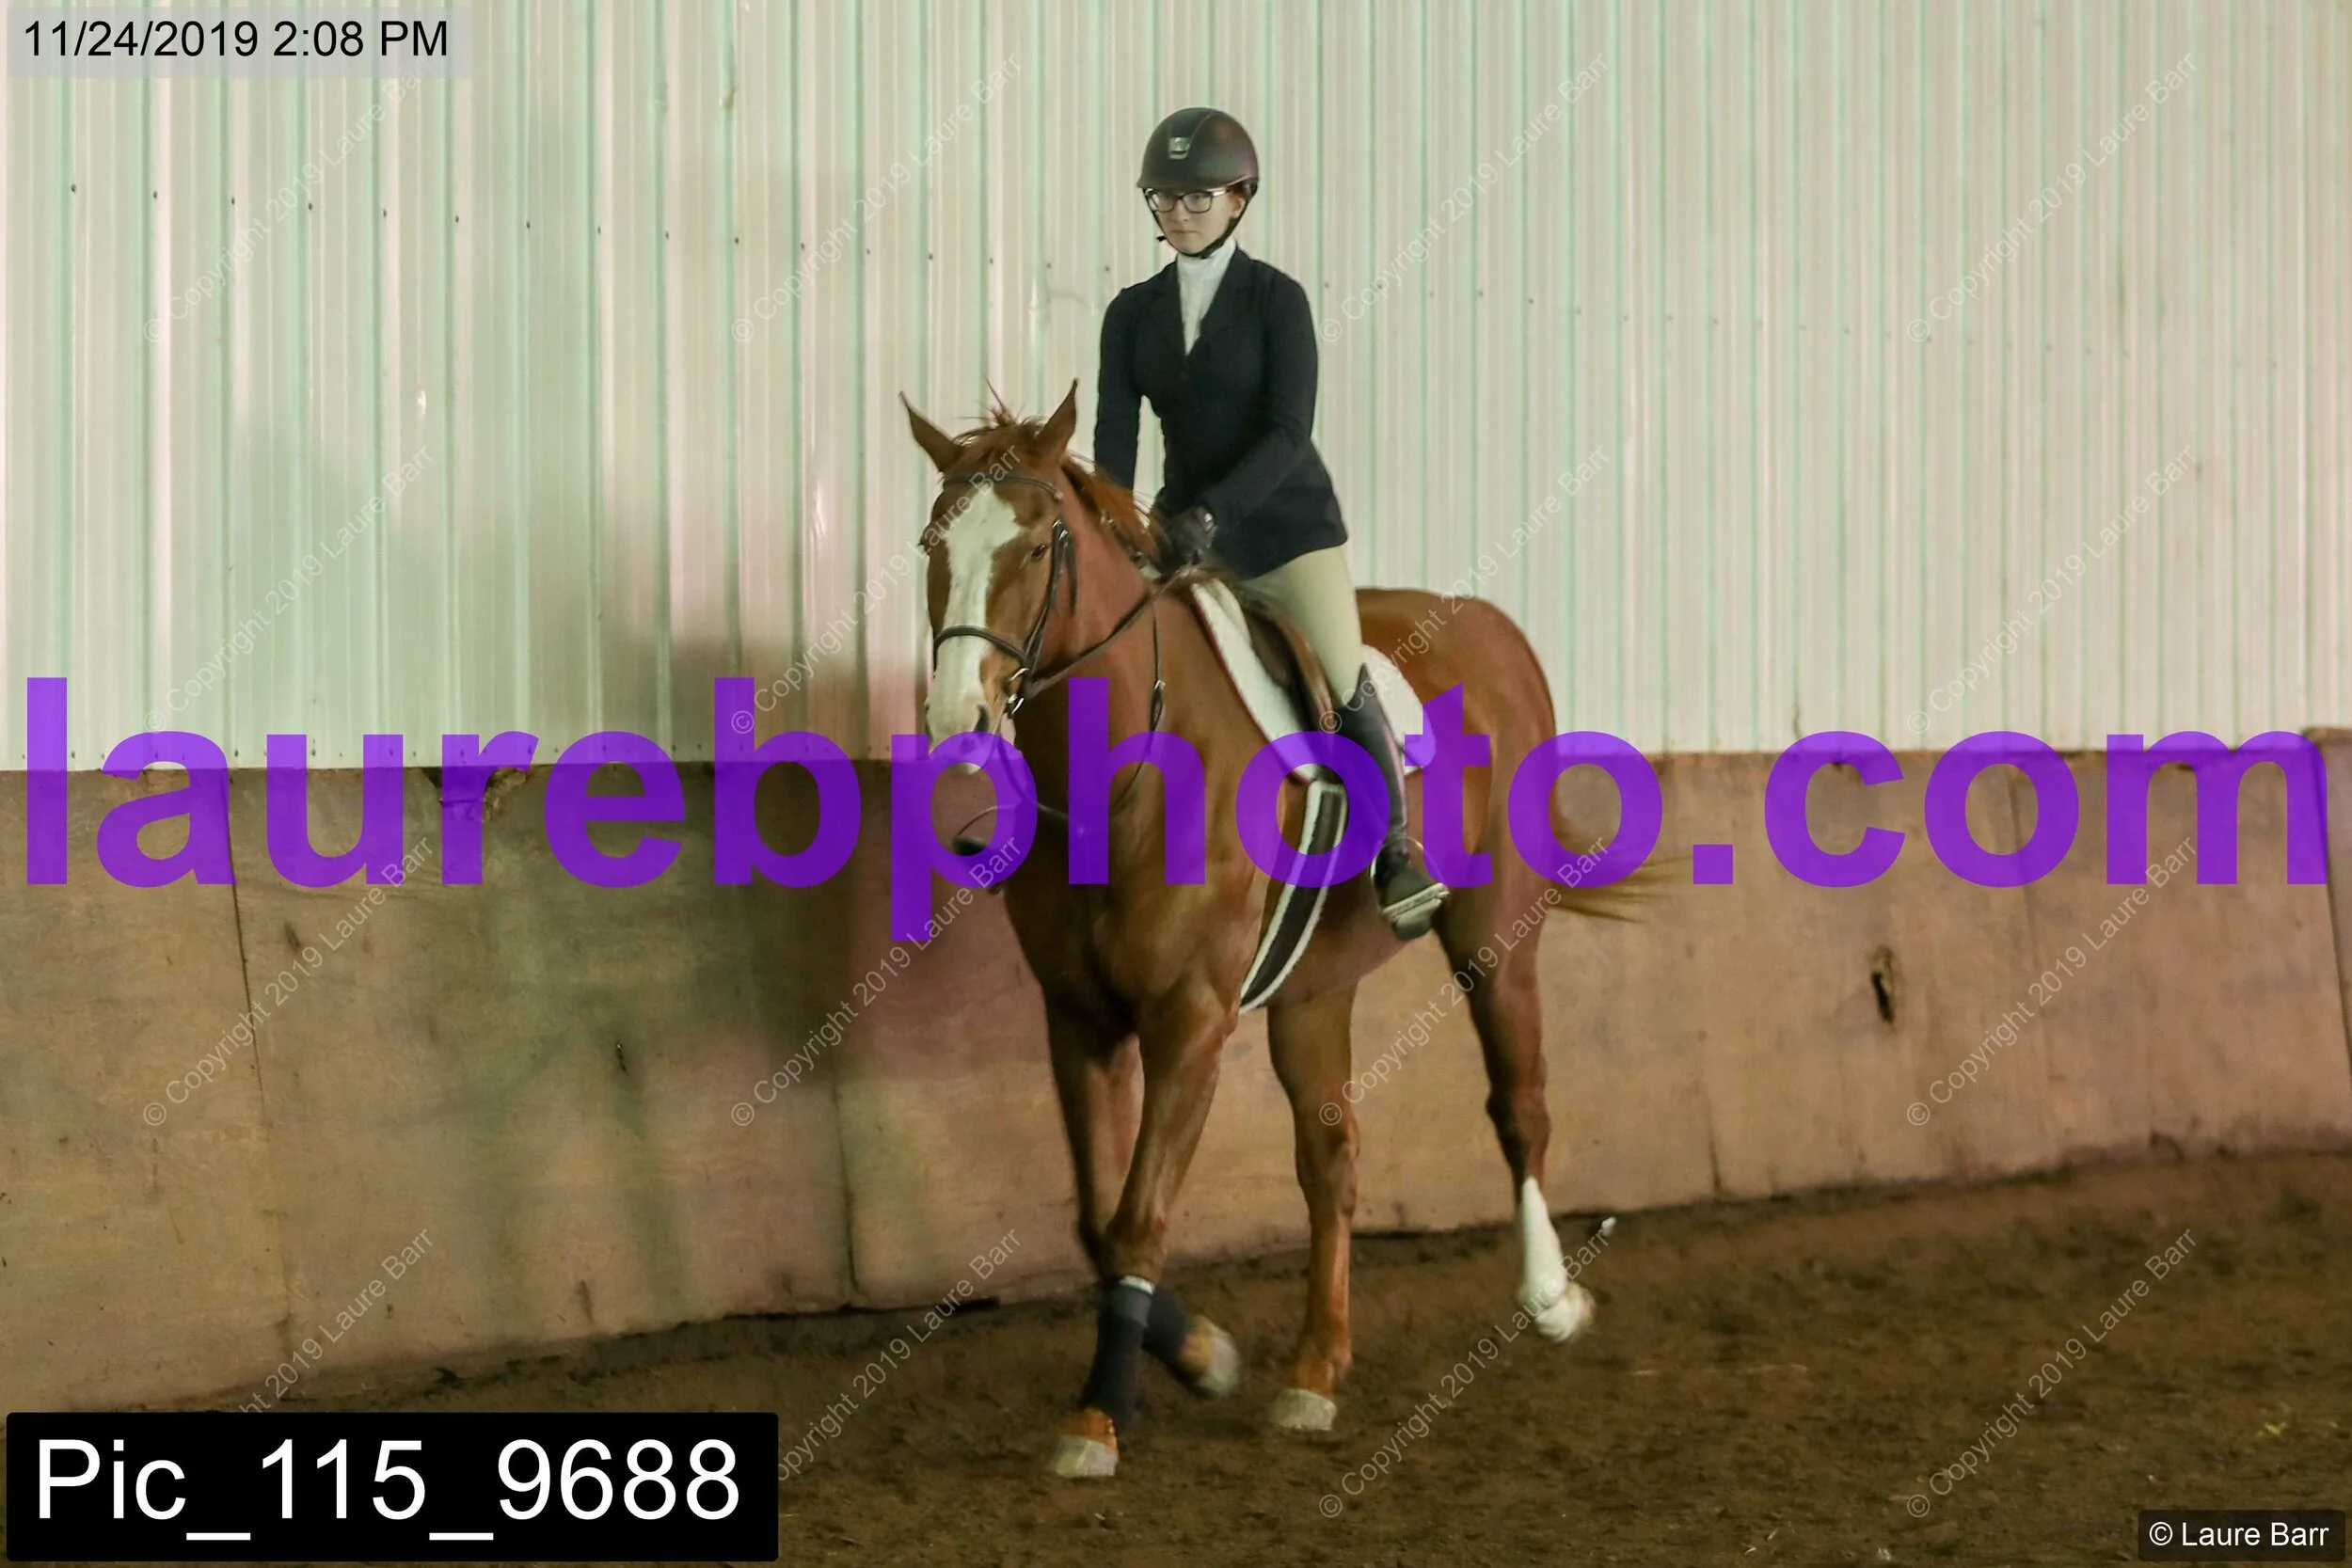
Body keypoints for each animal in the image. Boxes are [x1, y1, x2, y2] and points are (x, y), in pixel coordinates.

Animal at [903, 383, 1635, 1479]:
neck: (1128, 772)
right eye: (931, 546)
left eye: (1033, 546)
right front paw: (1203, 1355)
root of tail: (1496, 630)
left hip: (1494, 944)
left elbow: (1138, 1216)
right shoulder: (1079, 1018)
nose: (960, 719)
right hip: (1312, 990)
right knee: (1332, 1160)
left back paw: (1549, 1298)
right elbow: (1094, 1218)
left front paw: (1099, 1413)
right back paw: (1315, 1370)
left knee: (1520, 1106)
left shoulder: (1190, 1019)